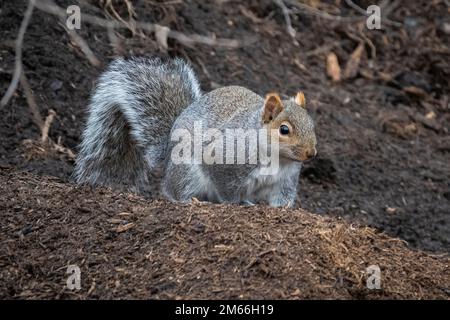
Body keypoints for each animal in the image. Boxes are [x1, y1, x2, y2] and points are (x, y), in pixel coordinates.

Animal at [74, 57, 318, 208]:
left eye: (312, 124)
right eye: (284, 129)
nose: (311, 153)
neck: (277, 158)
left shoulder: (284, 181)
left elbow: (281, 199)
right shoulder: (225, 162)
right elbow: (227, 190)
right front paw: (238, 203)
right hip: (186, 172)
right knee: (172, 191)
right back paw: (188, 200)